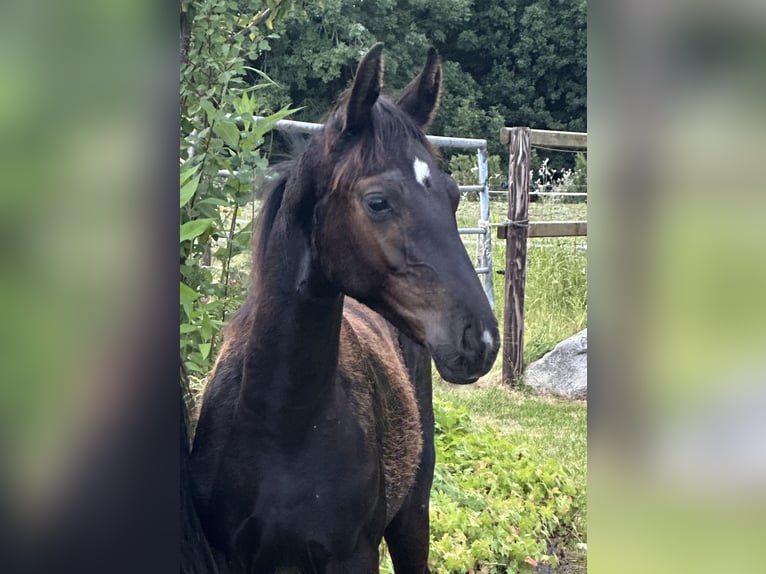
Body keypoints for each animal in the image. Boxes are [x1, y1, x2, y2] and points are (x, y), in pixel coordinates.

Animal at [185, 43, 500, 574]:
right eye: (378, 202)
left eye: (455, 196)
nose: (480, 339)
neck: (279, 424)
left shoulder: (354, 555)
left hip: (413, 515)